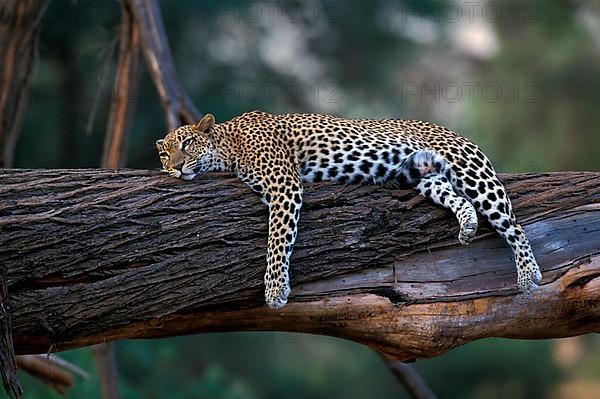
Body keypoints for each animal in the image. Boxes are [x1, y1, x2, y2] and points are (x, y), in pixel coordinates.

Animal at [157, 111, 540, 310]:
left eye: (187, 144)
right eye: (164, 153)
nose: (174, 167)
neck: (228, 144)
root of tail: (453, 130)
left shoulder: (284, 185)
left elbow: (278, 239)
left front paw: (275, 289)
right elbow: (279, 235)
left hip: (471, 171)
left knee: (513, 225)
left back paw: (528, 274)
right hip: (427, 177)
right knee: (459, 199)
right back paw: (467, 225)